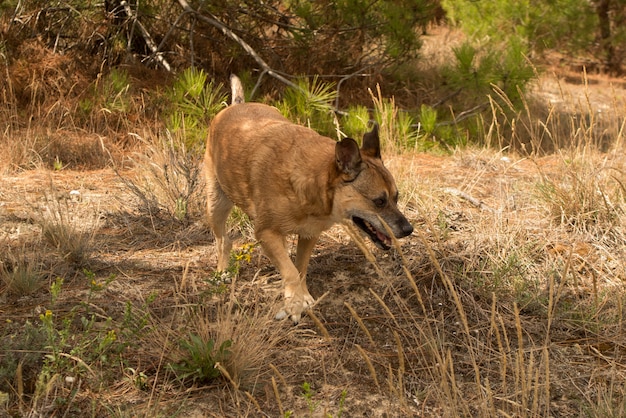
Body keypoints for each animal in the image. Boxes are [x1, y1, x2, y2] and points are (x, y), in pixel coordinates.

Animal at [202, 76, 412, 324]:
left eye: (396, 197)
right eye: (379, 201)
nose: (409, 229)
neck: (313, 181)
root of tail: (235, 105)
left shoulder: (309, 235)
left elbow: (299, 268)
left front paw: (301, 298)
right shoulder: (266, 232)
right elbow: (291, 272)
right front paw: (293, 306)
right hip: (216, 205)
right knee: (223, 241)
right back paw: (222, 273)